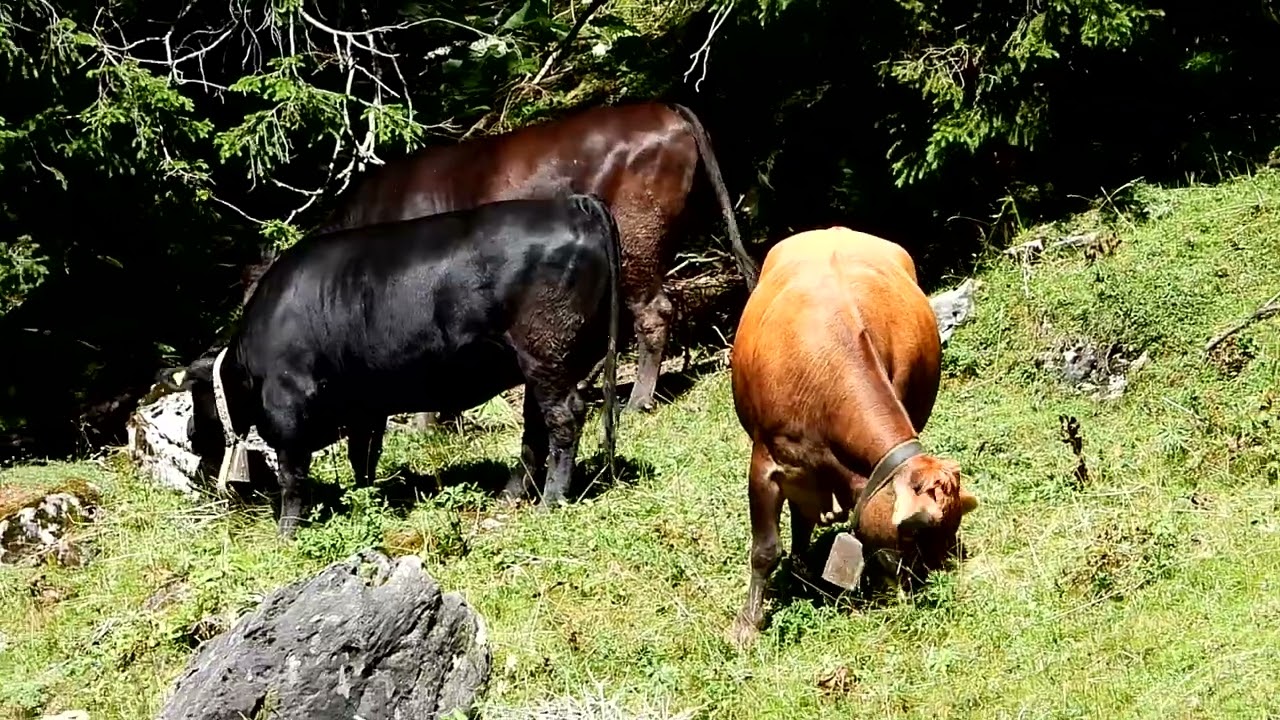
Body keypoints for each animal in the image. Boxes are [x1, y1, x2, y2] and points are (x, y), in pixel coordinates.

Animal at [167, 194, 624, 538]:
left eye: (195, 399)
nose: (190, 436)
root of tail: (573, 203)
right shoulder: (363, 406)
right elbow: (363, 456)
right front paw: (365, 499)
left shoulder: (289, 407)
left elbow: (292, 477)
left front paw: (287, 531)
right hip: (541, 364)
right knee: (535, 428)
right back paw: (513, 494)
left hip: (547, 354)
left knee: (564, 419)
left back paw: (552, 500)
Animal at [726, 226, 979, 646]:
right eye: (915, 529)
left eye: (952, 528)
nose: (931, 585)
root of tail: (833, 229)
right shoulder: (765, 463)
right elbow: (765, 549)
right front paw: (747, 624)